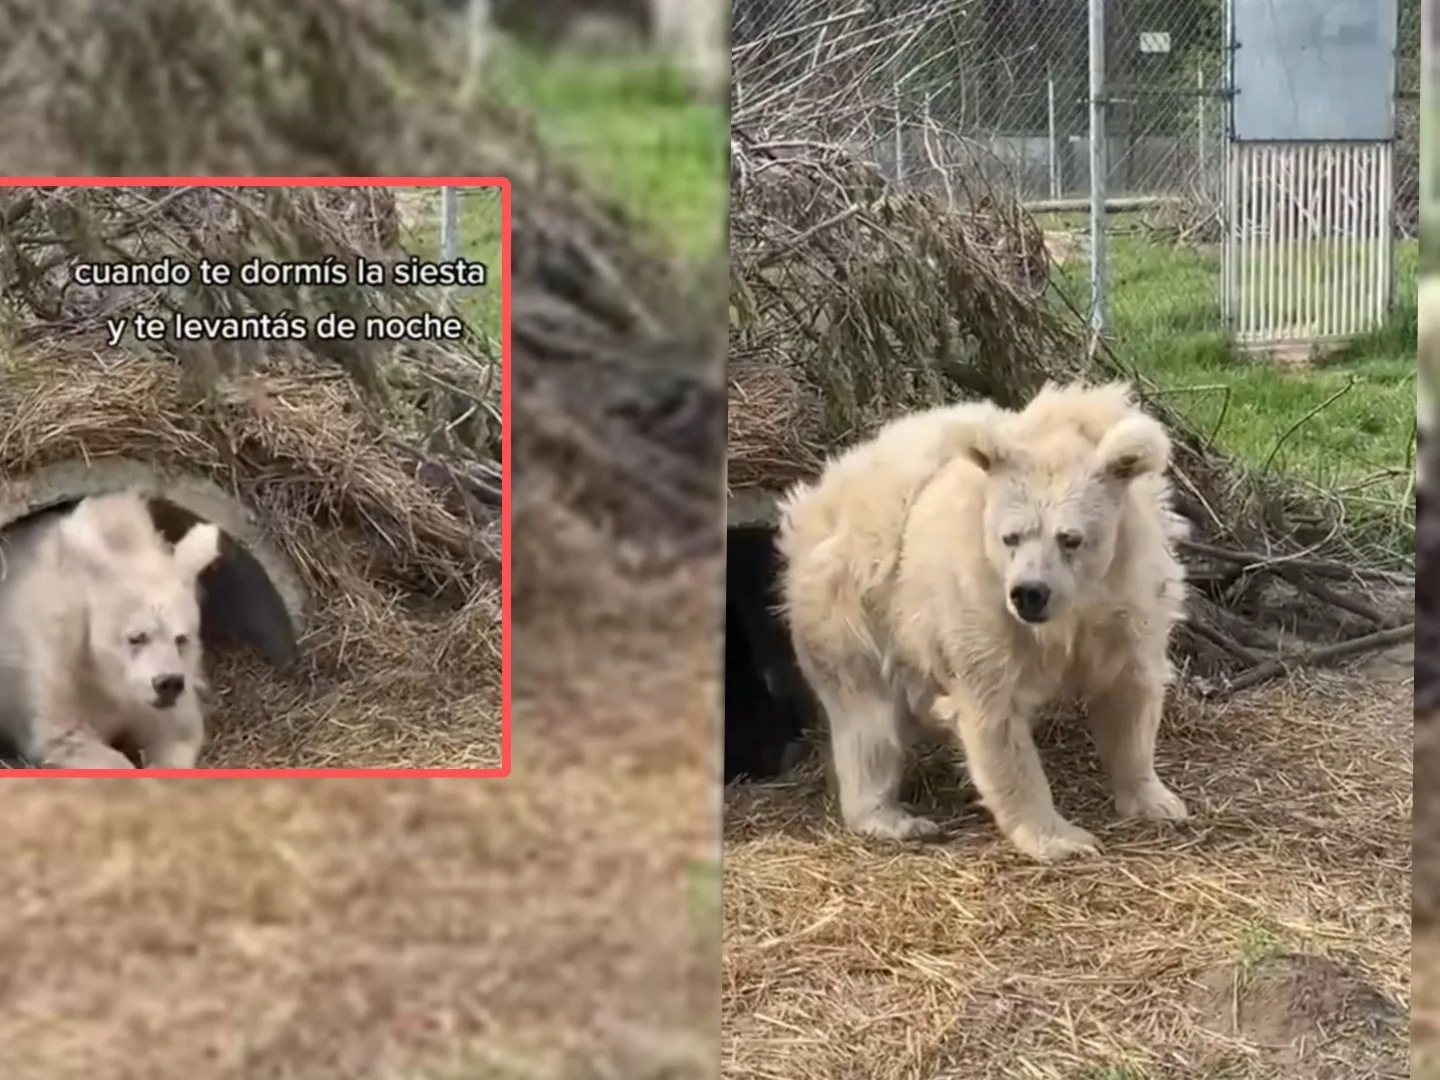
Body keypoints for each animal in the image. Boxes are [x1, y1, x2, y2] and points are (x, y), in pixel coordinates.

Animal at [0, 489, 222, 769]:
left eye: (181, 639)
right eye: (137, 637)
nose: (168, 683)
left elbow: (178, 731)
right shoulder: (52, 665)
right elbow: (64, 734)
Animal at [777, 381, 1190, 862]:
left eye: (1070, 538)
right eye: (1010, 536)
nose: (1030, 592)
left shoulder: (1131, 599)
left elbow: (1131, 692)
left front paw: (1157, 801)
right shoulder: (980, 606)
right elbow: (995, 716)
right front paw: (1063, 839)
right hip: (853, 605)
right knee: (866, 719)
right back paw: (895, 819)